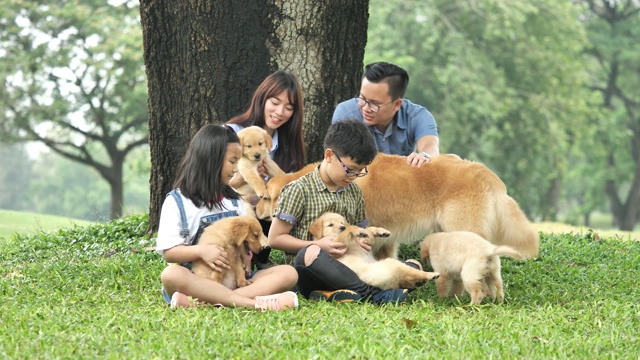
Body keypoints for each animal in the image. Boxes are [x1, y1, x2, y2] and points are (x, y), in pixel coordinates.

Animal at [308, 211, 440, 290]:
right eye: (330, 225)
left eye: (341, 222)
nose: (342, 227)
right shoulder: (336, 242)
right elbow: (350, 230)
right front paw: (354, 229)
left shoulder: (364, 243)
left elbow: (368, 231)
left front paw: (380, 231)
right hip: (390, 263)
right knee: (412, 272)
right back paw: (430, 275)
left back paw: (419, 282)